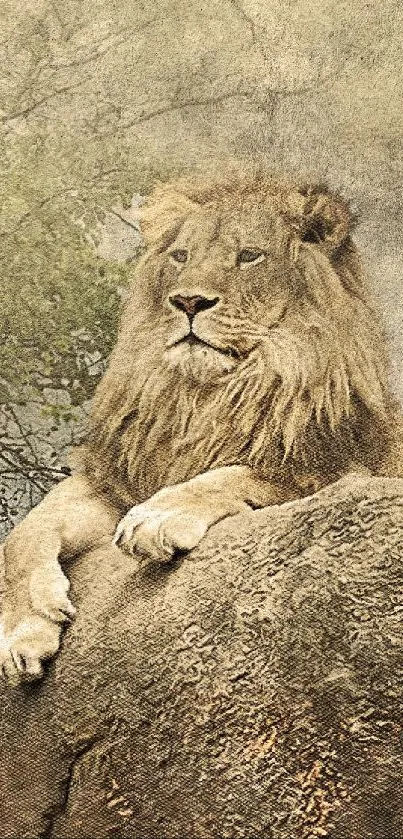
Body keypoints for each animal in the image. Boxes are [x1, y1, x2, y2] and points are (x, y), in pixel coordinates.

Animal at [0, 172, 403, 684]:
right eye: (181, 257)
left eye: (249, 255)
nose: (188, 300)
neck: (206, 396)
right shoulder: (117, 481)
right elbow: (23, 534)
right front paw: (24, 631)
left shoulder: (328, 467)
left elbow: (231, 474)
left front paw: (156, 517)